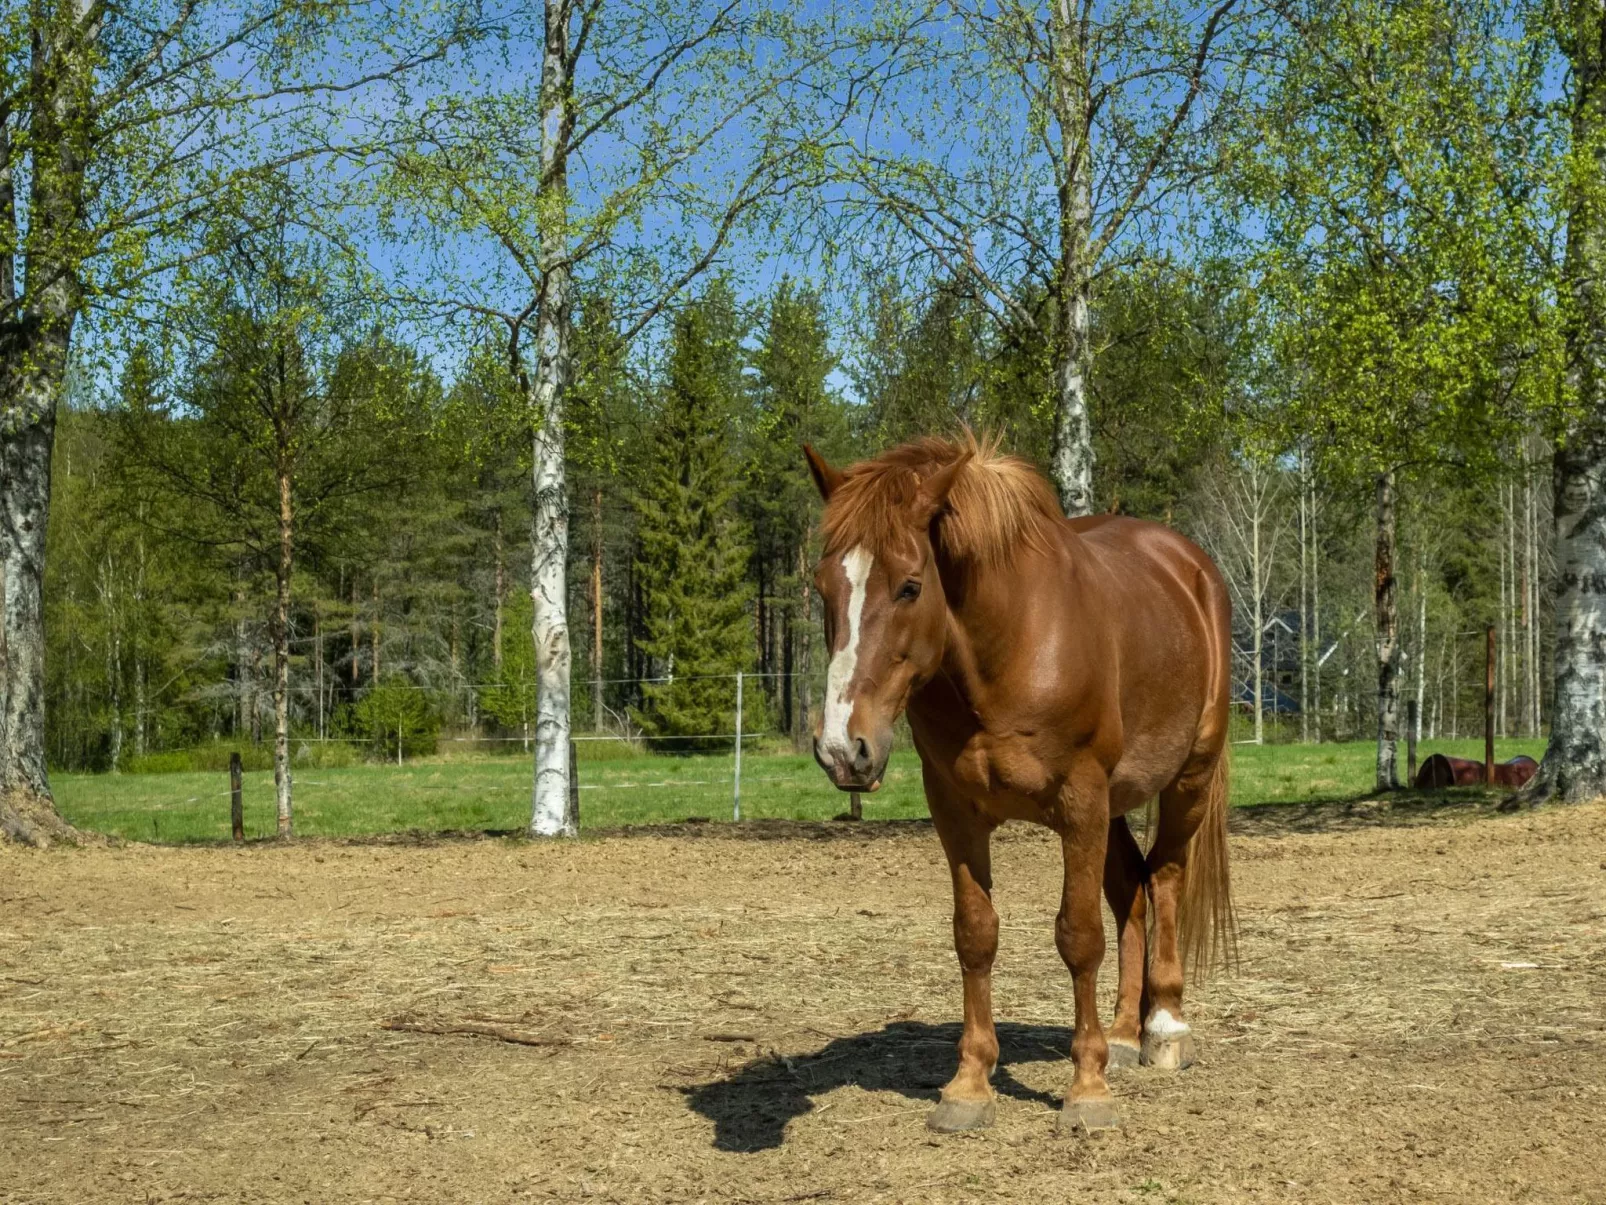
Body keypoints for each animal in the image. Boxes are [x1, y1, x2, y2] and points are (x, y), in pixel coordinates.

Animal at [809, 440, 1233, 1137]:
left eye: (910, 586)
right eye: (822, 588)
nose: (844, 749)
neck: (1005, 649)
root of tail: (1191, 567)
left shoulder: (1080, 799)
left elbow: (1078, 937)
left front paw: (1087, 1090)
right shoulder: (954, 810)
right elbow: (975, 934)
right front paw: (970, 1085)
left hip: (1186, 780)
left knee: (1166, 878)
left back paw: (1165, 1028)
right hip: (1117, 803)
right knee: (1132, 891)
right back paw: (1124, 1032)